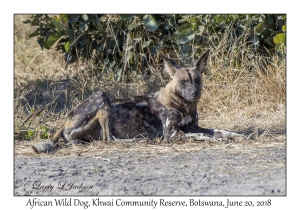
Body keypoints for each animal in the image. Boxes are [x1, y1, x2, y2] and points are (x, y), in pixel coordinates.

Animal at [32, 50, 223, 153]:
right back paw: (136, 141)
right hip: (102, 97)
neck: (184, 105)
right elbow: (201, 136)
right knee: (109, 139)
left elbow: (219, 130)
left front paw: (224, 135)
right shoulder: (171, 135)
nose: (195, 93)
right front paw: (213, 139)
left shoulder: (192, 127)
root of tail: (65, 121)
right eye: (183, 82)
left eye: (197, 80)